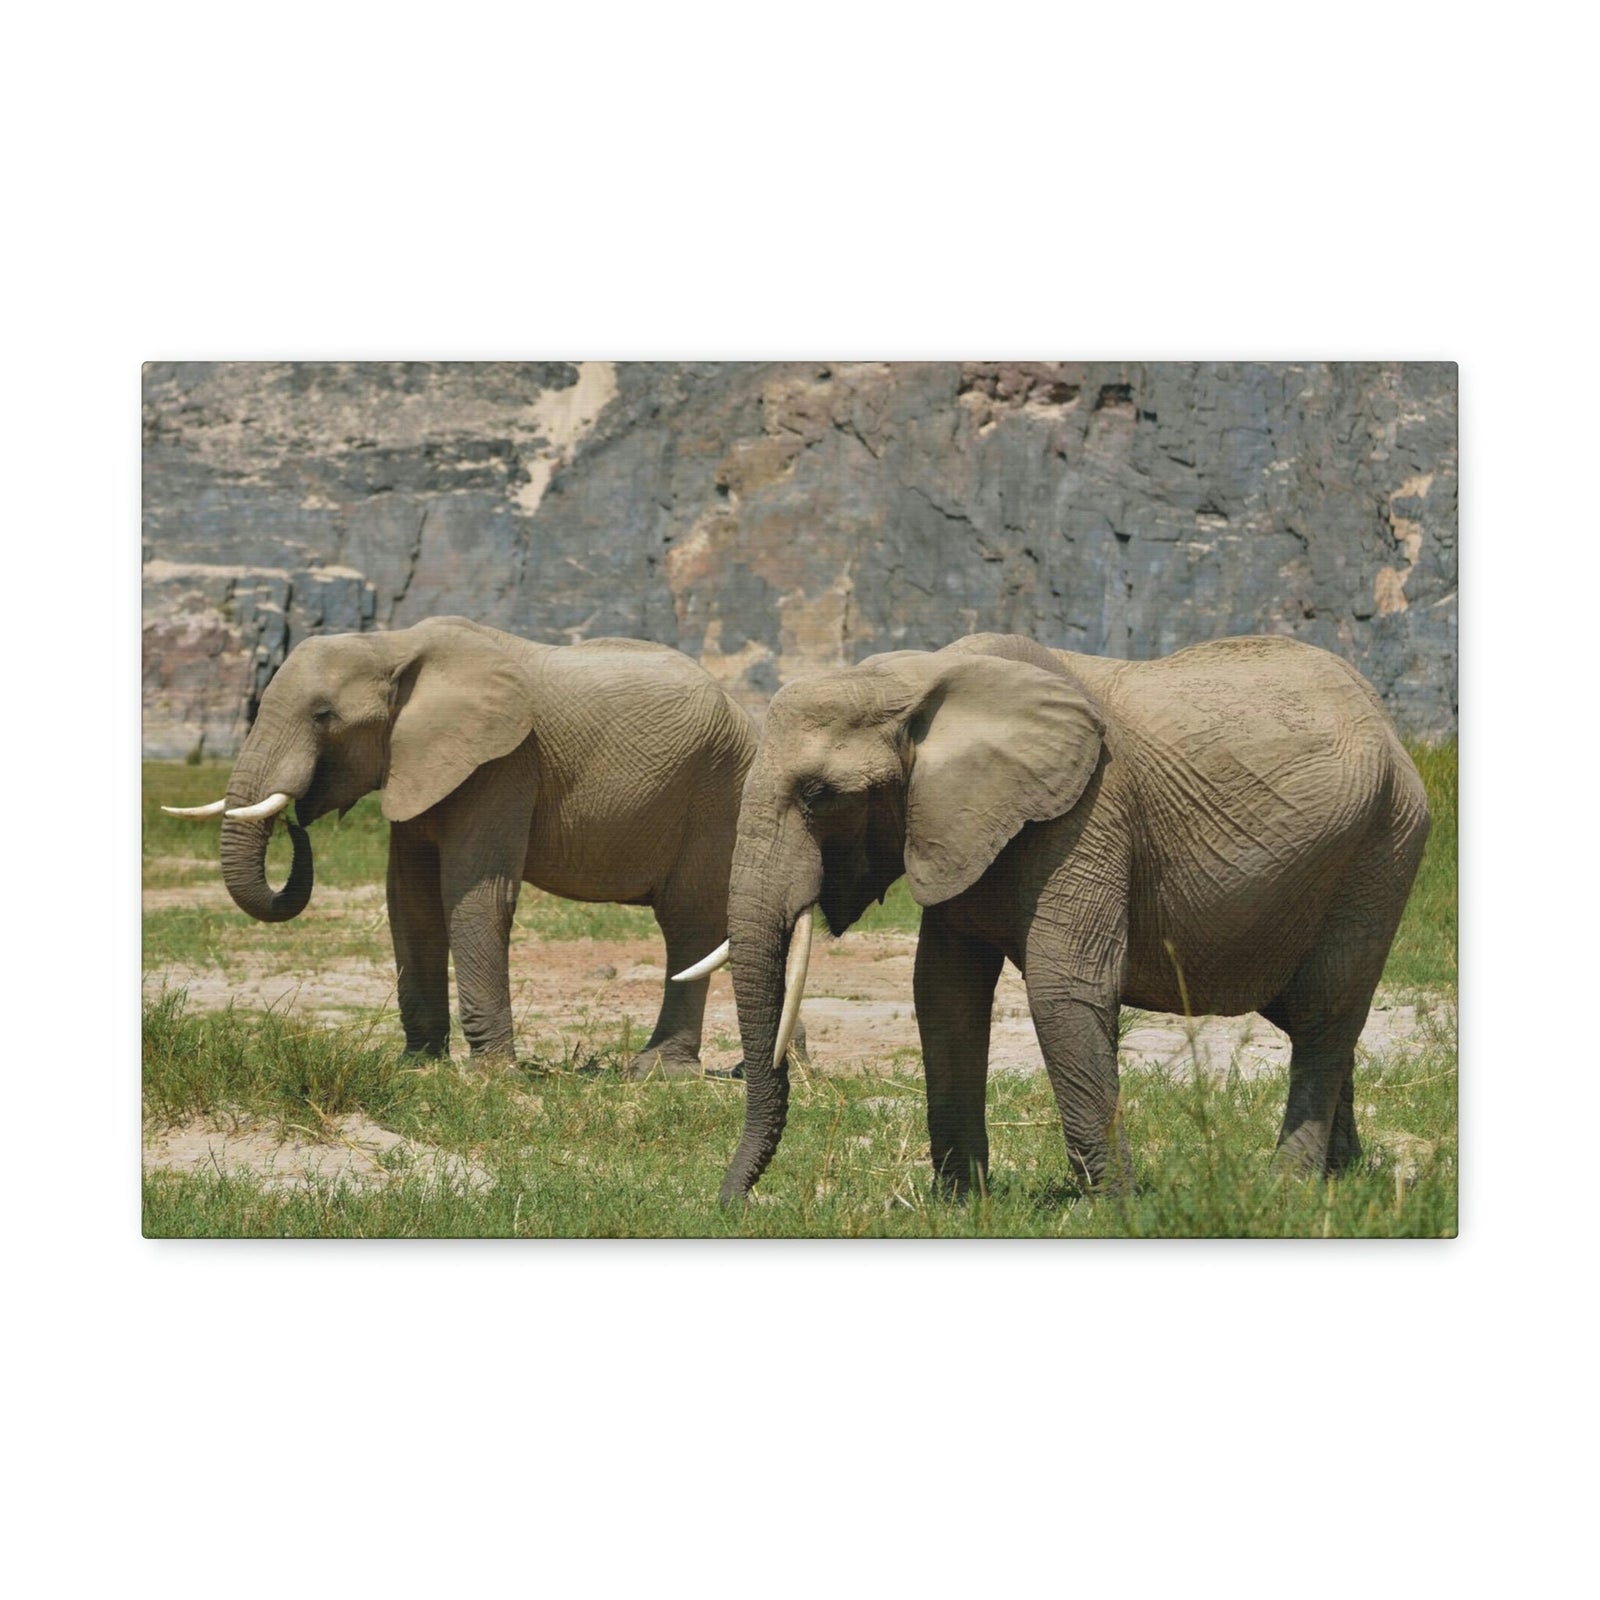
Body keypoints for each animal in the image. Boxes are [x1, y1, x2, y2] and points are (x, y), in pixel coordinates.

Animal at [164, 616, 757, 1075]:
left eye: (323, 716)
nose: (297, 821)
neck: (392, 645)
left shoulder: (504, 762)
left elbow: (476, 897)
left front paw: (491, 1075)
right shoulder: (418, 763)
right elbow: (411, 901)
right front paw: (418, 1065)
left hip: (718, 792)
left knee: (687, 924)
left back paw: (659, 1073)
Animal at [676, 632, 1430, 1203]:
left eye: (818, 795)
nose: (730, 1204)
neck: (920, 681)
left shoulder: (1088, 812)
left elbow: (1063, 987)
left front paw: (1119, 1207)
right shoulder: (956, 824)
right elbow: (943, 992)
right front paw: (961, 1204)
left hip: (1384, 844)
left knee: (1325, 1011)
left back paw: (1287, 1188)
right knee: (1315, 1018)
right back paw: (1341, 1178)